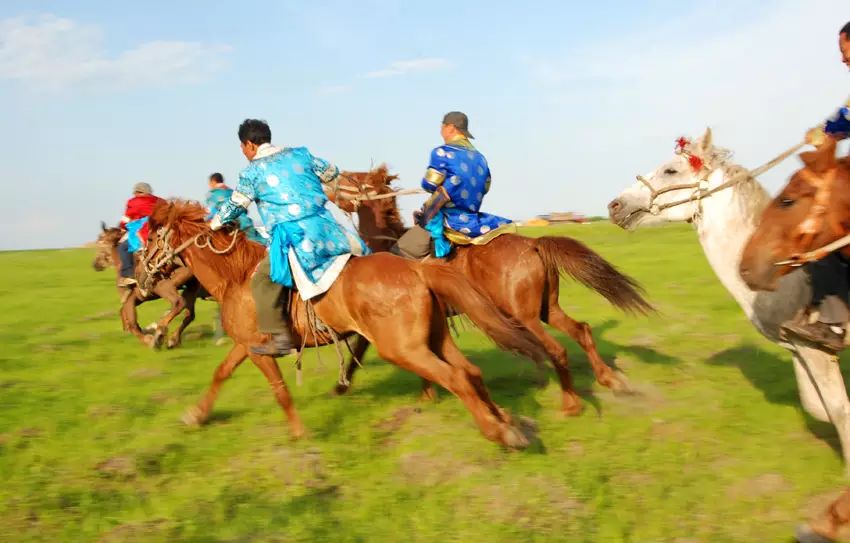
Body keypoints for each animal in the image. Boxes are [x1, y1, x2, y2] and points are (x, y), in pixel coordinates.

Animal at [142, 202, 548, 448]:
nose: (142, 276)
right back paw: (508, 420)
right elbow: (221, 373)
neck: (236, 276)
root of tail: (417, 268)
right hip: (433, 340)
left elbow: (278, 390)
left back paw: (499, 431)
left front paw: (300, 432)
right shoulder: (245, 344)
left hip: (403, 349)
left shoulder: (257, 348)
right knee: (471, 372)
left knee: (457, 378)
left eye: (148, 238)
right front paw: (197, 415)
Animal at [328, 168, 652, 414]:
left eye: (348, 177)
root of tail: (534, 244)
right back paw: (610, 380)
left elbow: (363, 348)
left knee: (556, 349)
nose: (329, 191)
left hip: (524, 317)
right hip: (547, 309)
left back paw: (571, 404)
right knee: (581, 331)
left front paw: (342, 385)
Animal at [608, 129, 848, 472]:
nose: (615, 205)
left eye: (671, 170)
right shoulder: (799, 348)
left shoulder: (816, 348)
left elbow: (840, 411)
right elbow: (818, 408)